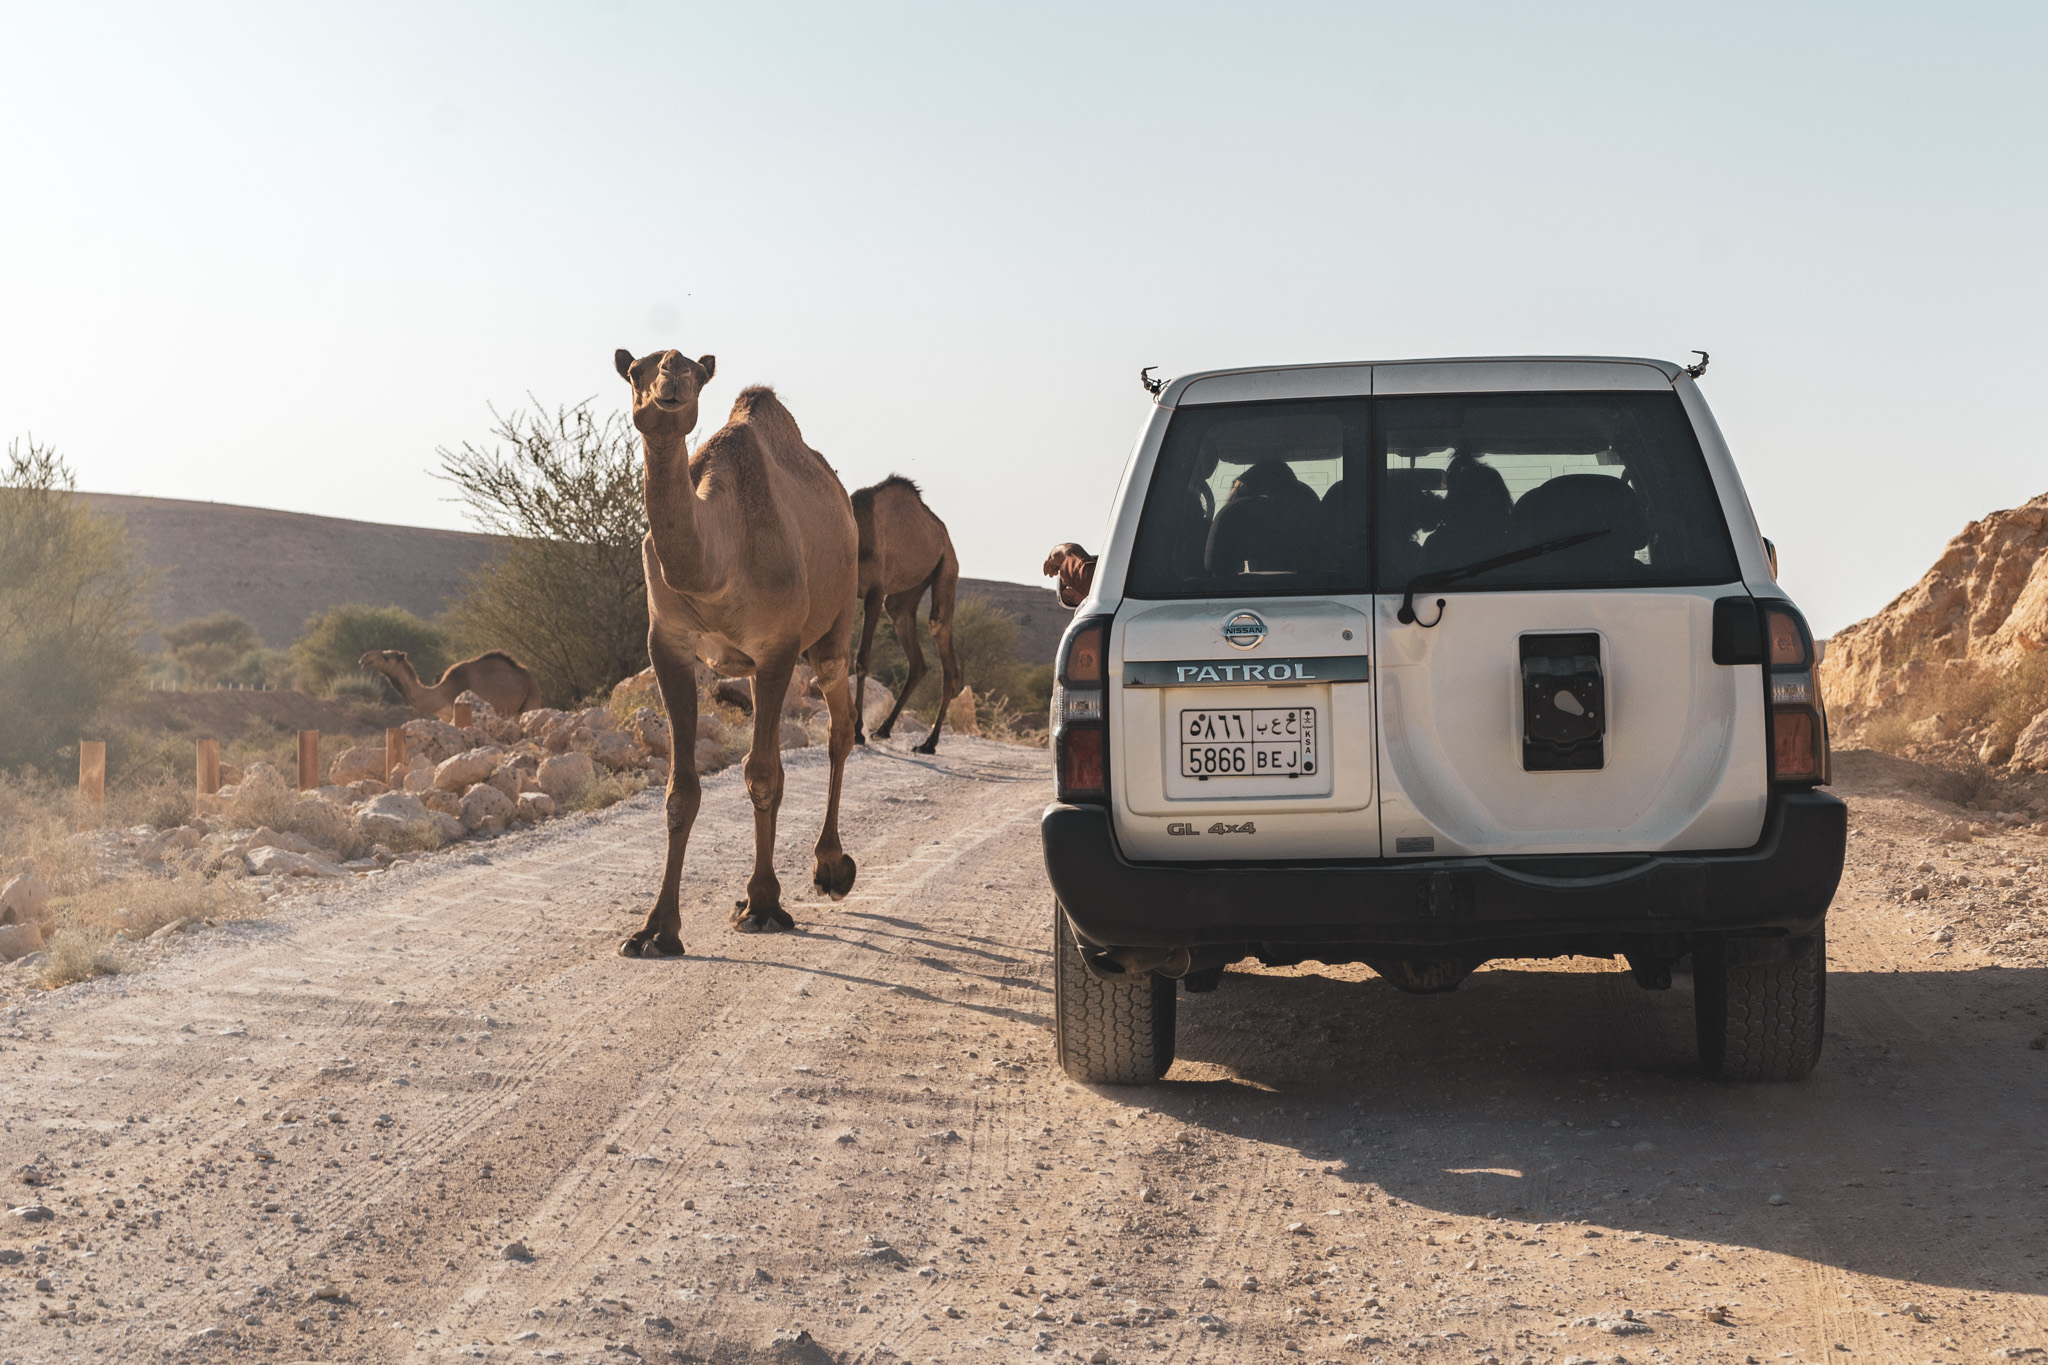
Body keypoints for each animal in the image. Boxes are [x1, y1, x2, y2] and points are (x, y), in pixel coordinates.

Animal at [610, 349, 860, 949]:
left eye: (696, 374)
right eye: (635, 371)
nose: (669, 380)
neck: (716, 565)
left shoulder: (777, 648)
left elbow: (762, 773)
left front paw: (766, 904)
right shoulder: (667, 646)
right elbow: (681, 789)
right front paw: (655, 930)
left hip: (835, 621)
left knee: (839, 724)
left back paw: (830, 868)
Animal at [847, 478, 958, 757]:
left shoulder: (875, 591)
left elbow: (861, 659)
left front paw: (857, 730)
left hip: (947, 569)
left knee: (943, 644)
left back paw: (929, 743)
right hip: (904, 596)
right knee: (917, 661)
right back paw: (884, 730)